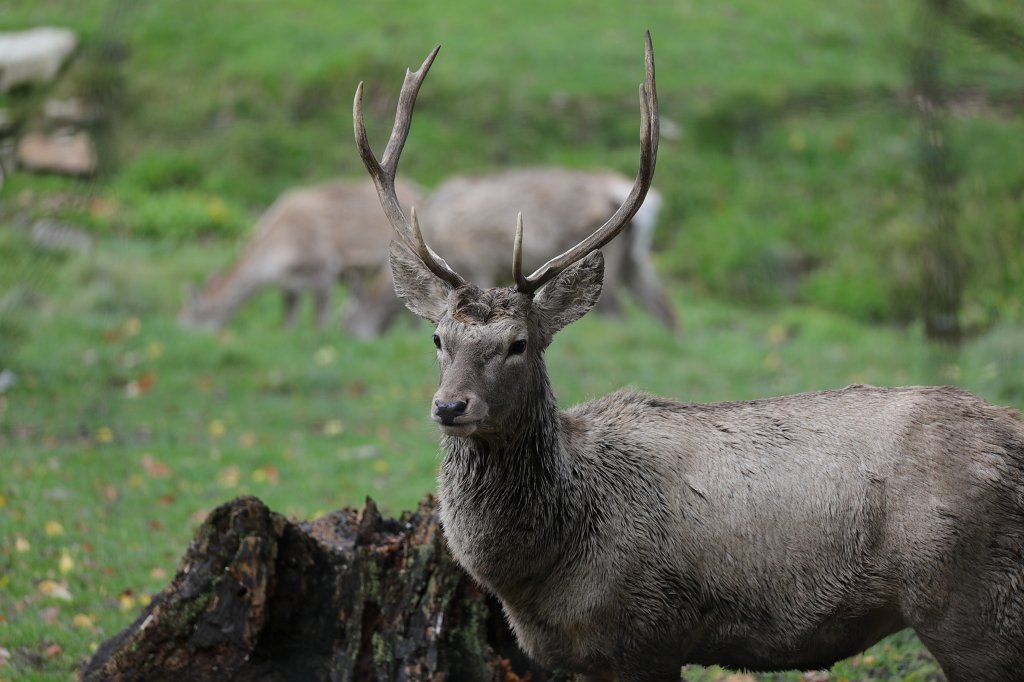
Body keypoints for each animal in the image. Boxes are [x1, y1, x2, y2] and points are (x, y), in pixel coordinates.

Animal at [178, 177, 424, 331]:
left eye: (190, 320)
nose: (182, 335)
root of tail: (420, 190)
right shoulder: (290, 286)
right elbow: (288, 325)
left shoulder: (325, 271)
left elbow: (319, 325)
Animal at [353, 33, 1024, 682]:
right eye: (438, 339)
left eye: (519, 343)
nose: (450, 406)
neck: (548, 569)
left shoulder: (648, 634)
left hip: (971, 604)